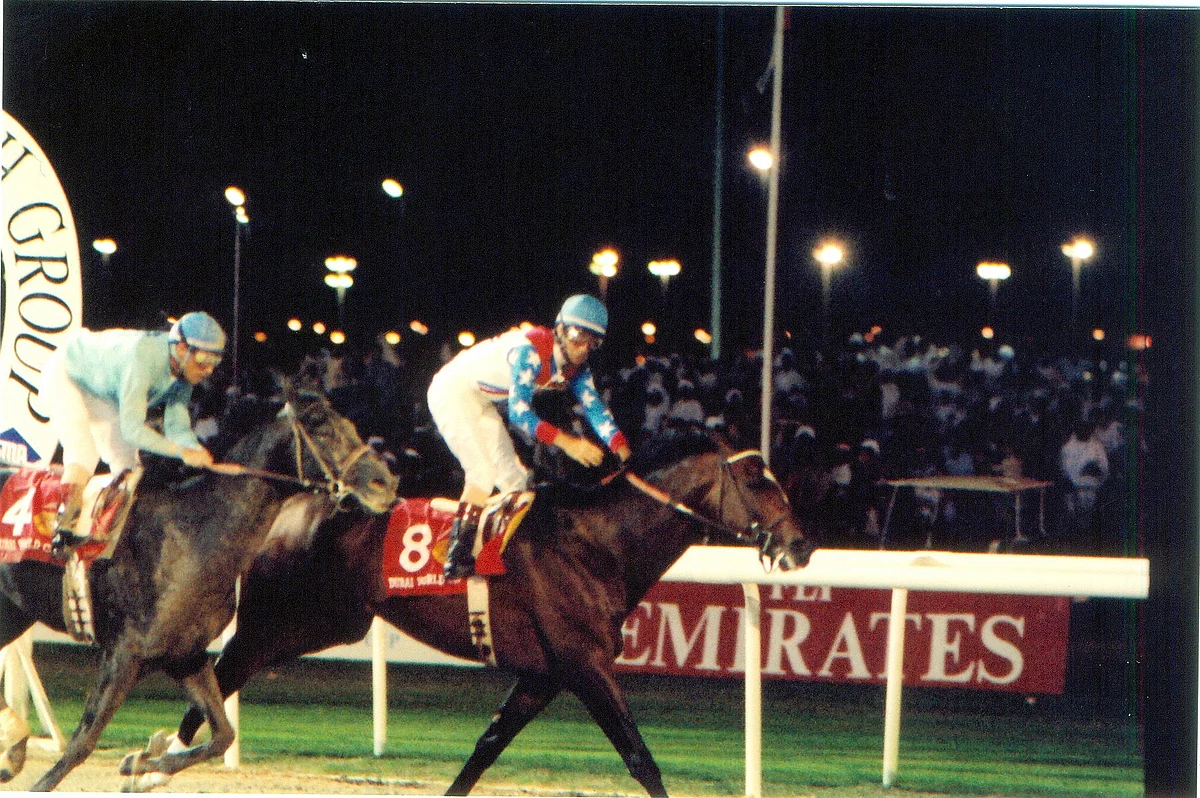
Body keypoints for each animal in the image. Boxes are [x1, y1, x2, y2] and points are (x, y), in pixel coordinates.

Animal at [0, 384, 398, 791]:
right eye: (319, 425)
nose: (384, 482)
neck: (195, 531)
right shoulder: (124, 652)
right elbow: (82, 743)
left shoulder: (186, 654)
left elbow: (222, 734)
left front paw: (140, 763)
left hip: (12, 612)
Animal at [162, 428, 815, 797]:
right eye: (757, 479)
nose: (801, 546)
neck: (598, 541)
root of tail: (289, 503)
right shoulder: (584, 665)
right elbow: (640, 759)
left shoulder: (544, 675)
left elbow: (487, 746)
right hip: (279, 625)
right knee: (212, 684)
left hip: (320, 624)